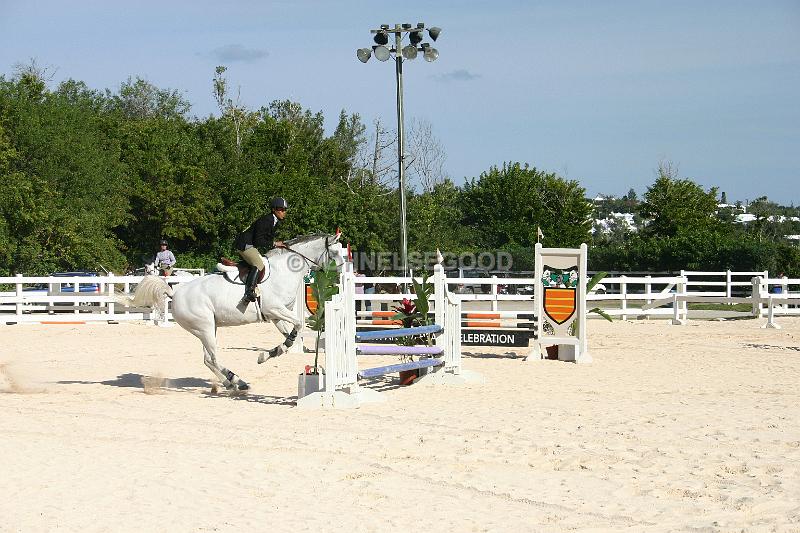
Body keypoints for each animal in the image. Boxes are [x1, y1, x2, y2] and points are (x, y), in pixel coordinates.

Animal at [118, 233, 344, 390]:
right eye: (334, 253)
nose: (340, 275)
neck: (285, 270)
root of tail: (175, 293)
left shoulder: (274, 314)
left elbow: (290, 336)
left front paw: (269, 354)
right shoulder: (274, 309)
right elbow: (297, 325)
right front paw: (267, 355)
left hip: (208, 329)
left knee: (207, 359)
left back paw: (230, 383)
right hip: (205, 328)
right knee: (213, 358)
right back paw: (237, 381)